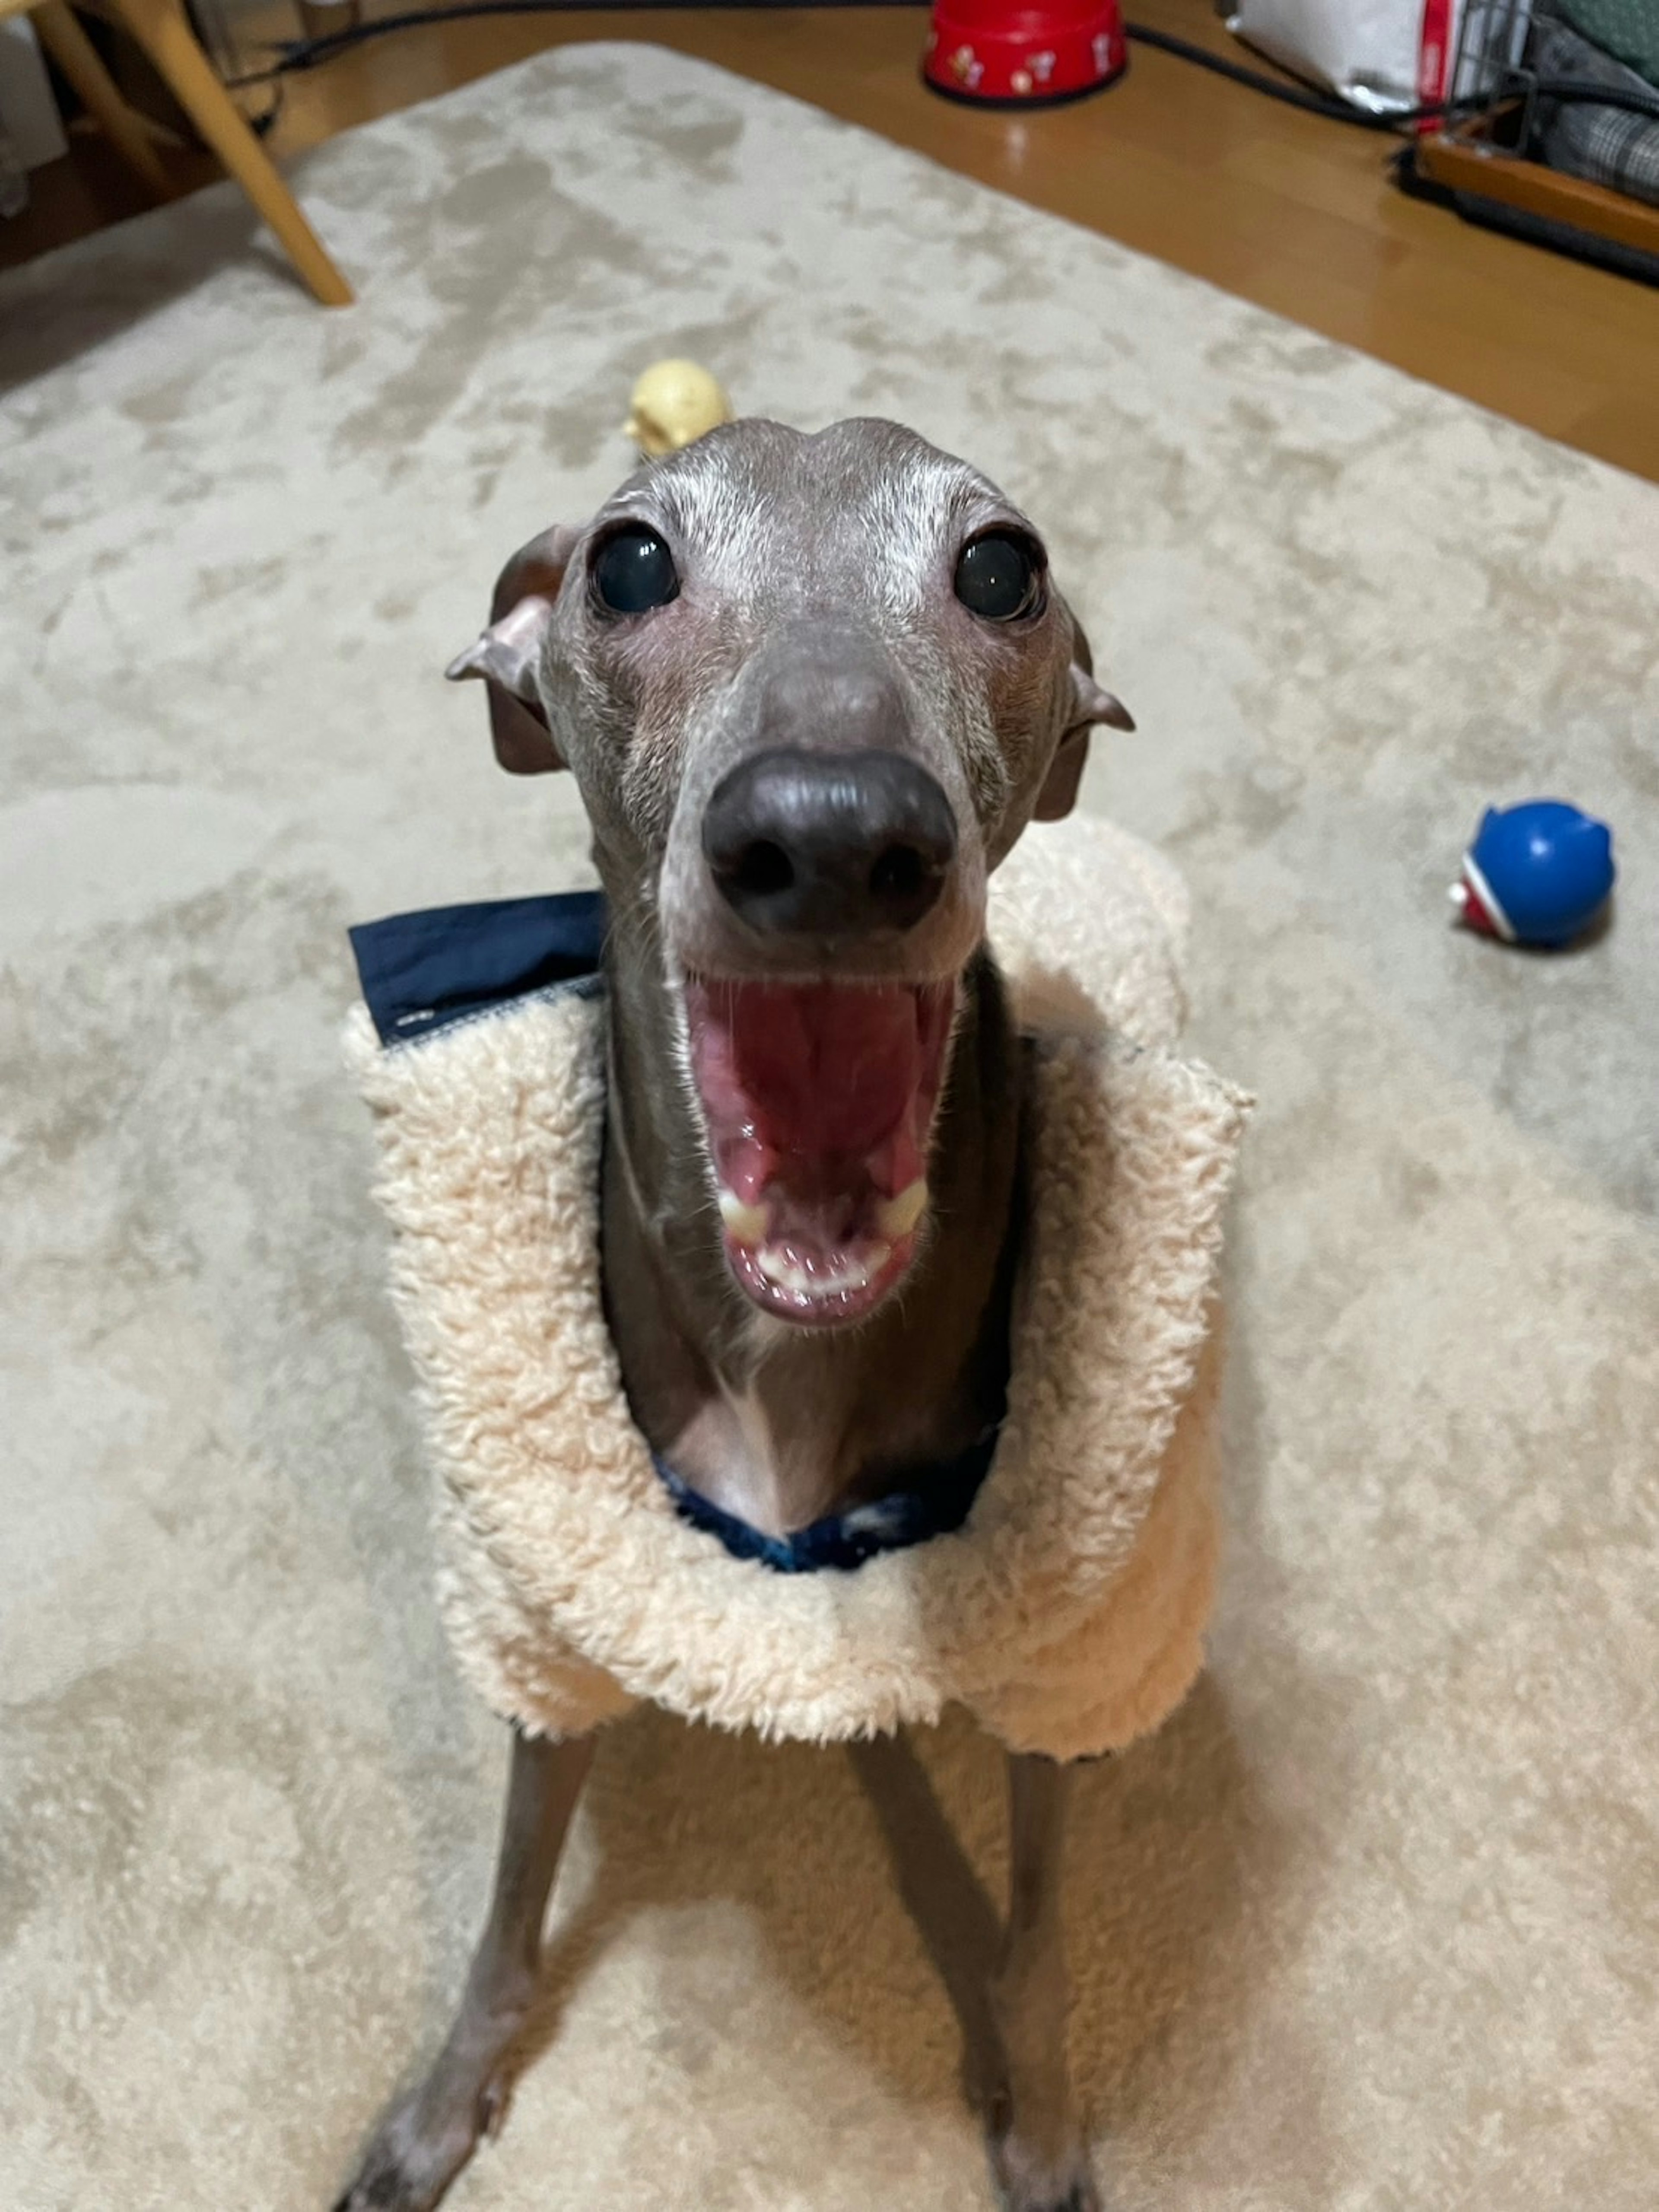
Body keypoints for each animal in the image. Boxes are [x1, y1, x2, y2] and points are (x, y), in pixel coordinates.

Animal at [338, 418, 1141, 2212]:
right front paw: (438, 2105)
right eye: (629, 561)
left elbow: (1045, 1933)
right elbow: (507, 1914)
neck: (796, 1354)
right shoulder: (559, 1625)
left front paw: (1046, 2125)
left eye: (1003, 565)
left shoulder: (1061, 1663)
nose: (835, 835)